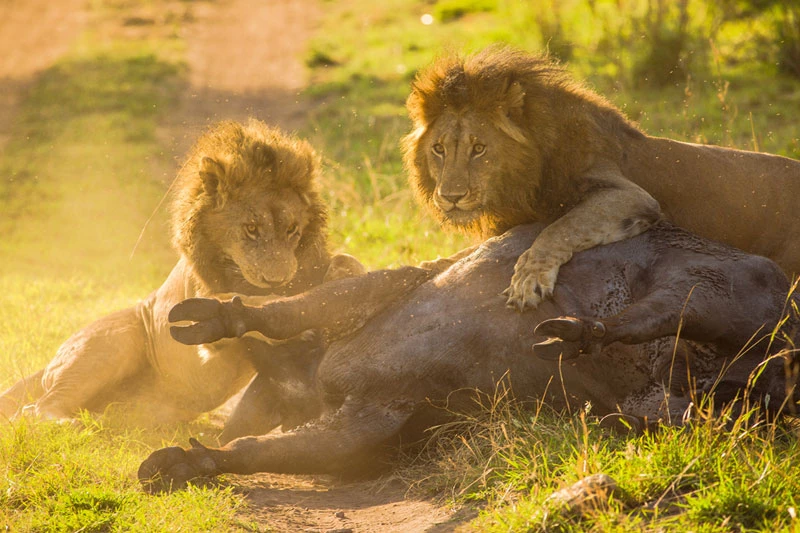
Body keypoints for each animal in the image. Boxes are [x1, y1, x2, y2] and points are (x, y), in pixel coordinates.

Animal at [0, 119, 362, 428]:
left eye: (292, 229)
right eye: (251, 228)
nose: (278, 279)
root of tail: (46, 365)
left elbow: (347, 263)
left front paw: (344, 286)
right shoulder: (201, 323)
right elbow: (243, 301)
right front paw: (290, 317)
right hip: (115, 340)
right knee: (34, 409)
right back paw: (77, 423)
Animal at [404, 48, 800, 312]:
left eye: (479, 148)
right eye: (439, 149)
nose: (451, 196)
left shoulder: (631, 196)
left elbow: (559, 228)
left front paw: (529, 279)